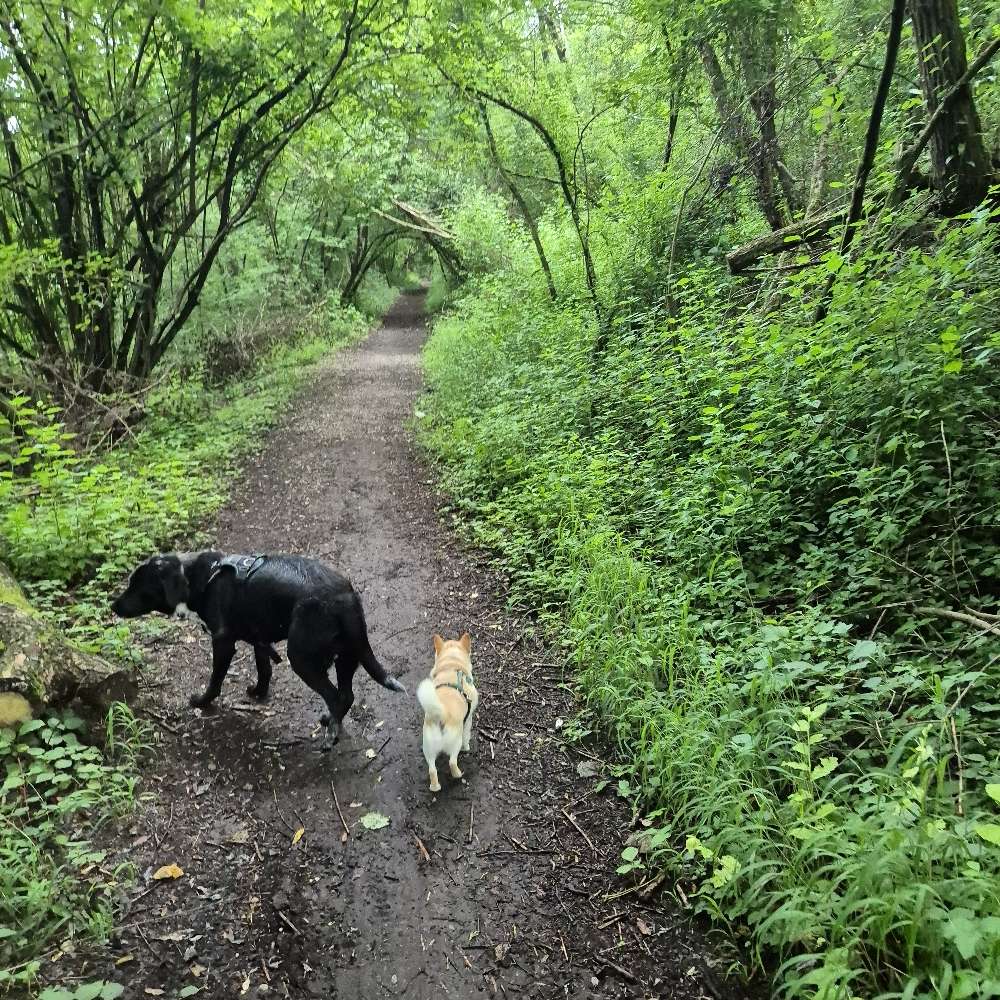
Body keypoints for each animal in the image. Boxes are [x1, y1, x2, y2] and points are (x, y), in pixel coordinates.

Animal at [112, 552, 402, 748]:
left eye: (137, 586)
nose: (112, 606)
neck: (200, 578)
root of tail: (345, 598)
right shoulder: (259, 638)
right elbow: (264, 669)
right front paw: (259, 693)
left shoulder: (223, 642)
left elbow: (215, 680)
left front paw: (202, 701)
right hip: (346, 657)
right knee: (347, 695)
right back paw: (331, 721)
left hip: (302, 658)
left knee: (336, 696)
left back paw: (331, 735)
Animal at [414, 632, 476, 788]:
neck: (451, 666)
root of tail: (441, 715)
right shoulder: (468, 719)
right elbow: (467, 735)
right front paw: (467, 747)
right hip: (454, 743)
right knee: (452, 762)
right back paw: (459, 774)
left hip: (428, 749)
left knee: (432, 770)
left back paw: (435, 787)